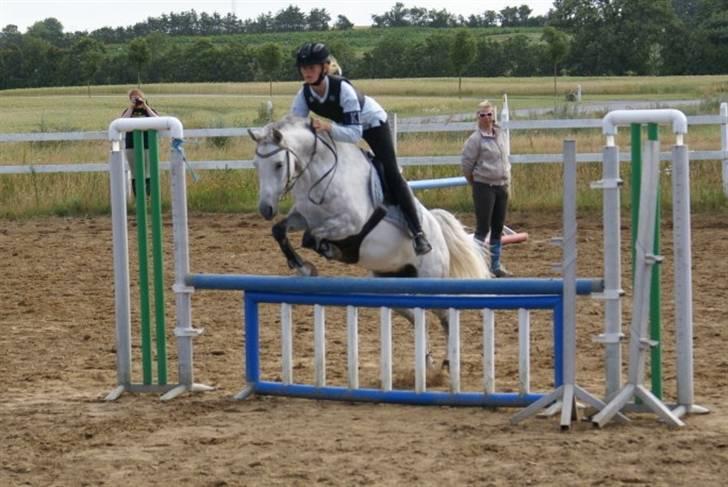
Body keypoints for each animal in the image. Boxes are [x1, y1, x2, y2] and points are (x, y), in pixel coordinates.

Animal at [248, 115, 491, 361]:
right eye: (256, 165)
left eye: (278, 164)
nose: (266, 209)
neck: (321, 175)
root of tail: (437, 229)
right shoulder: (304, 217)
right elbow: (280, 230)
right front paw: (303, 267)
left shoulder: (350, 223)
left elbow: (310, 237)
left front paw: (329, 253)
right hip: (390, 281)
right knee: (416, 315)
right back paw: (426, 357)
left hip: (430, 279)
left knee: (445, 316)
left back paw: (449, 360)